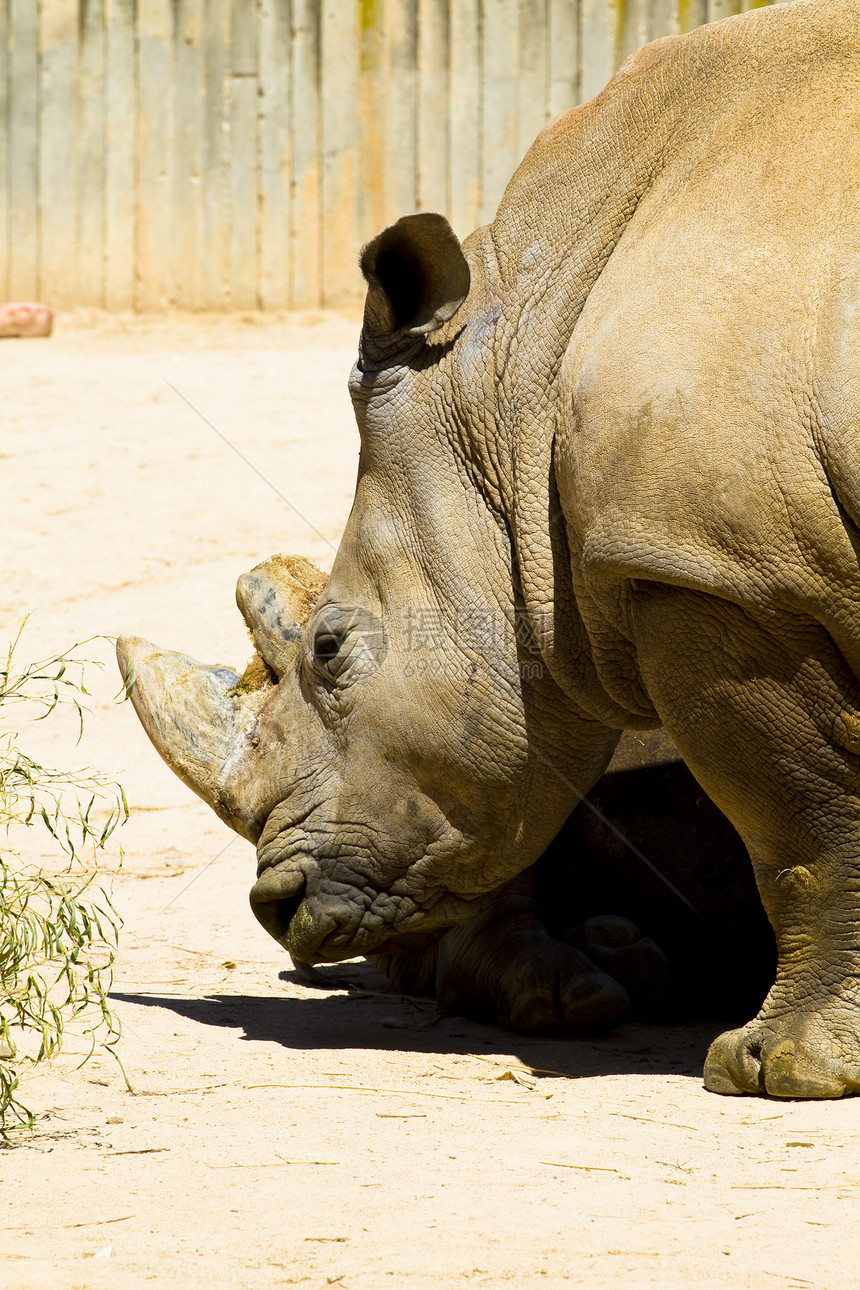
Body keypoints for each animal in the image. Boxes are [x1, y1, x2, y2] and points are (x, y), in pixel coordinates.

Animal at [122, 2, 860, 1099]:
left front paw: (775, 1072)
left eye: (331, 649)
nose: (274, 906)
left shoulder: (718, 572)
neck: (513, 373)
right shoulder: (730, 562)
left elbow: (804, 817)